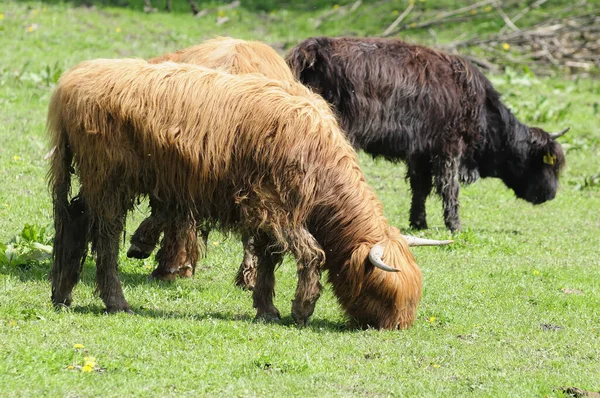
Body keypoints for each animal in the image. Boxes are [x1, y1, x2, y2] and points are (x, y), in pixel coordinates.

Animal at [49, 57, 448, 328]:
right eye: (381, 291)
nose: (395, 328)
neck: (319, 161)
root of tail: (72, 80)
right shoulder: (274, 205)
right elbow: (310, 253)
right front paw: (301, 308)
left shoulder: (267, 210)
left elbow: (271, 255)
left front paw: (267, 308)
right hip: (108, 178)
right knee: (105, 235)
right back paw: (115, 301)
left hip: (89, 177)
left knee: (75, 220)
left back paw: (63, 294)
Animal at [286, 37, 568, 232]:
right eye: (546, 165)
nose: (551, 194)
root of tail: (312, 49)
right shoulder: (449, 147)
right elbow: (449, 187)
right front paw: (455, 226)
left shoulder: (420, 152)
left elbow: (420, 187)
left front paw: (419, 222)